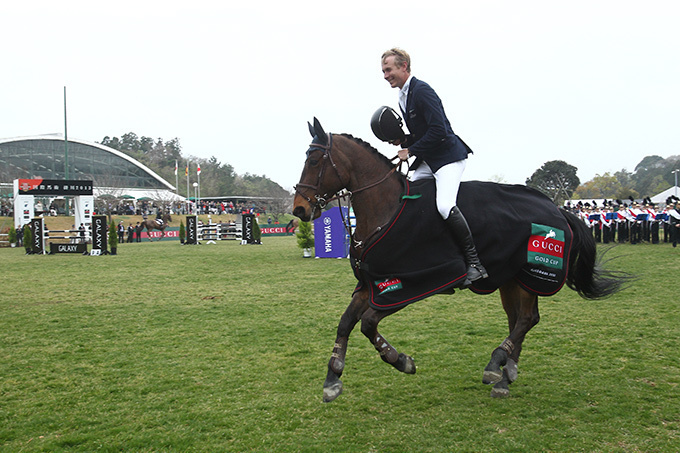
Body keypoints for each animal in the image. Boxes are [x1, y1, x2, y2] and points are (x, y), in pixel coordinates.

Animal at [292, 118, 628, 400]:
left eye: (314, 160)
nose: (299, 210)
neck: (384, 208)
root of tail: (557, 209)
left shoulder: (404, 286)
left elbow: (367, 323)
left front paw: (401, 361)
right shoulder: (371, 284)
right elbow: (346, 322)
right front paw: (333, 378)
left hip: (532, 275)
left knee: (527, 319)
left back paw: (497, 366)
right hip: (511, 277)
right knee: (519, 318)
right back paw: (506, 374)